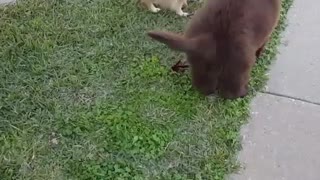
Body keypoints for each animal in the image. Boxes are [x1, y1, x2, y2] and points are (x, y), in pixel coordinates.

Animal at [147, 0, 280, 99]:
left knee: (203, 85)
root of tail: (211, 40)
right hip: (238, 63)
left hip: (200, 64)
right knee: (231, 91)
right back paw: (242, 93)